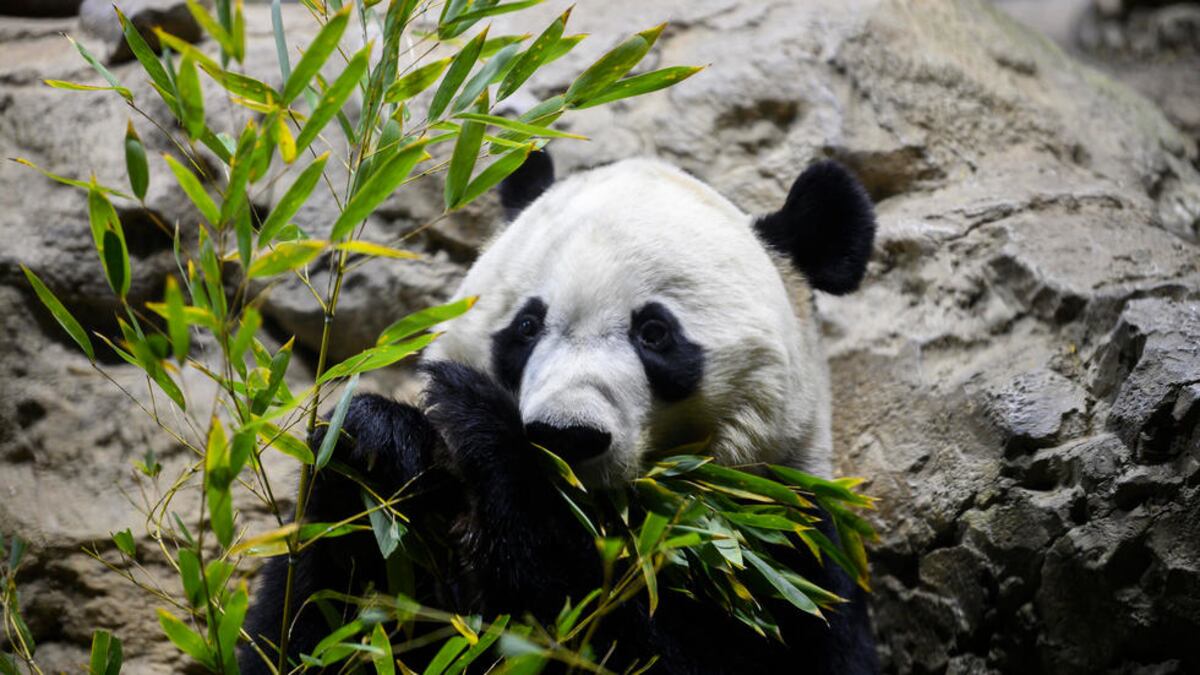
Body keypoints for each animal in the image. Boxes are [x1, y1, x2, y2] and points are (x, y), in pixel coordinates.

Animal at [242, 152, 880, 674]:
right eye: (527, 326)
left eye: (654, 332)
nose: (566, 437)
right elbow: (308, 633)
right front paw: (377, 444)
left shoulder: (781, 556)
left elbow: (617, 637)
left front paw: (481, 428)